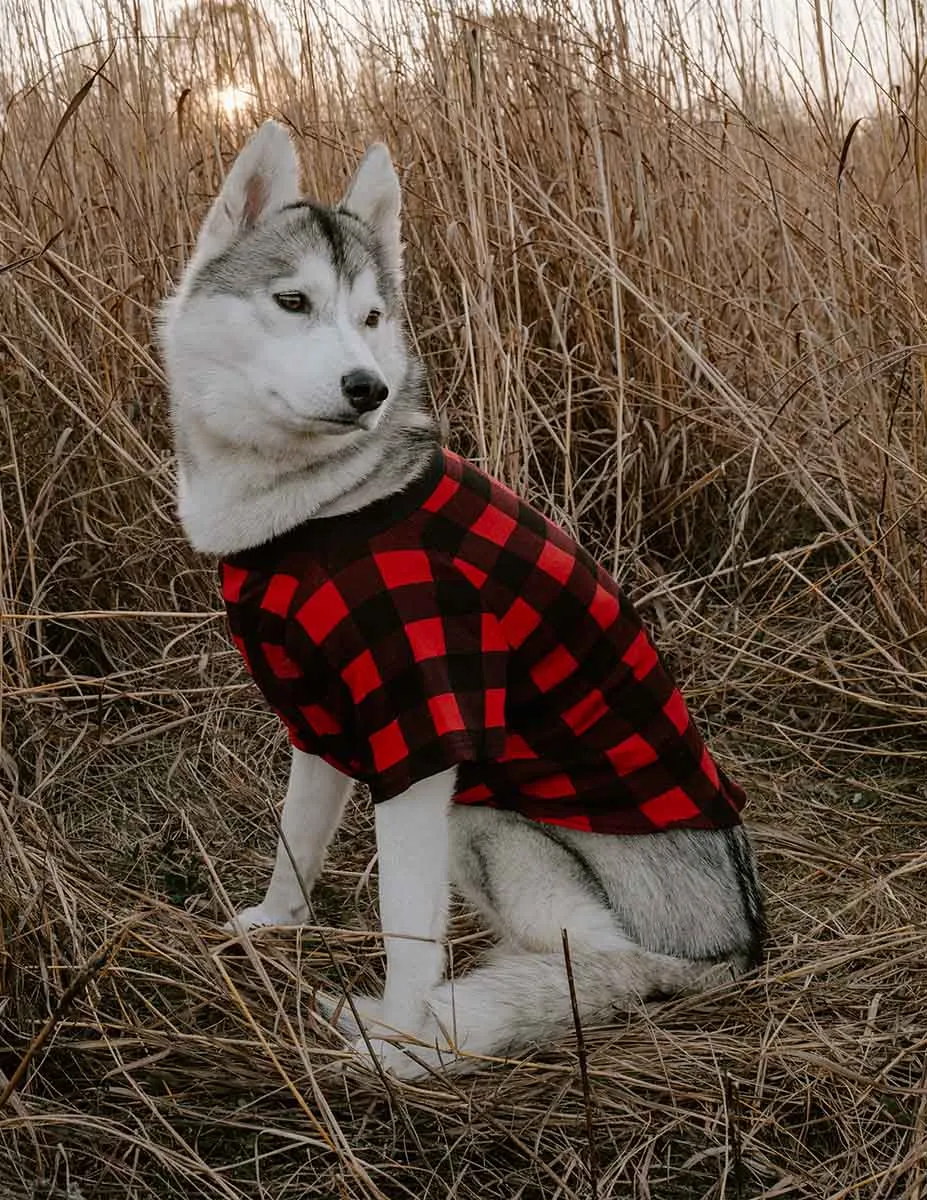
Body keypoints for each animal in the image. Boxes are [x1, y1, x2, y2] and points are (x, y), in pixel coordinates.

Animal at [159, 119, 763, 1080]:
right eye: (292, 302)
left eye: (372, 319)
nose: (366, 388)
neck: (323, 504)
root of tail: (736, 952)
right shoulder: (323, 716)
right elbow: (296, 840)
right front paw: (273, 926)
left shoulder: (421, 743)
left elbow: (406, 926)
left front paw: (400, 1045)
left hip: (485, 820)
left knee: (597, 961)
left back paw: (459, 1020)